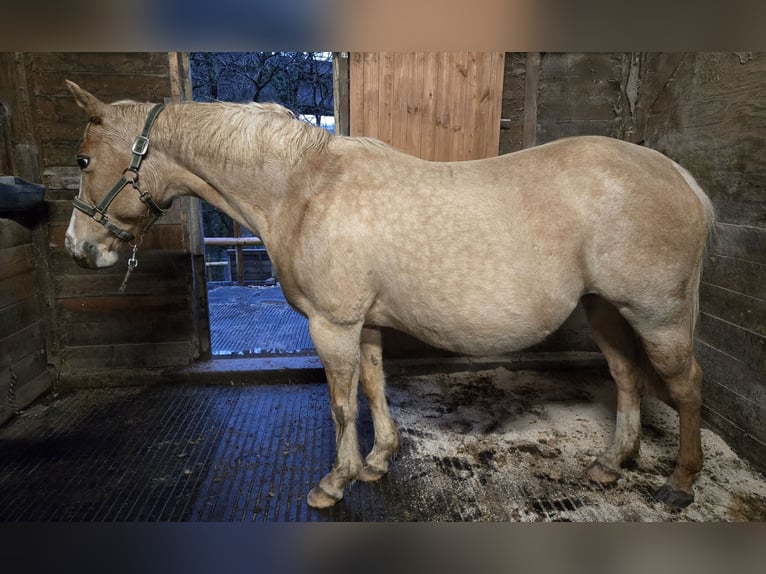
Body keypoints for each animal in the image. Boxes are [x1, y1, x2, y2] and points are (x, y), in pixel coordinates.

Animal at [63, 80, 715, 511]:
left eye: (84, 159)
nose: (79, 248)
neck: (300, 189)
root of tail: (676, 174)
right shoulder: (365, 323)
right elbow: (374, 388)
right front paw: (379, 461)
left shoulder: (331, 325)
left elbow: (340, 404)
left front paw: (335, 482)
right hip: (606, 309)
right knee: (627, 377)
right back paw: (611, 464)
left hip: (657, 315)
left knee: (685, 386)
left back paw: (681, 483)